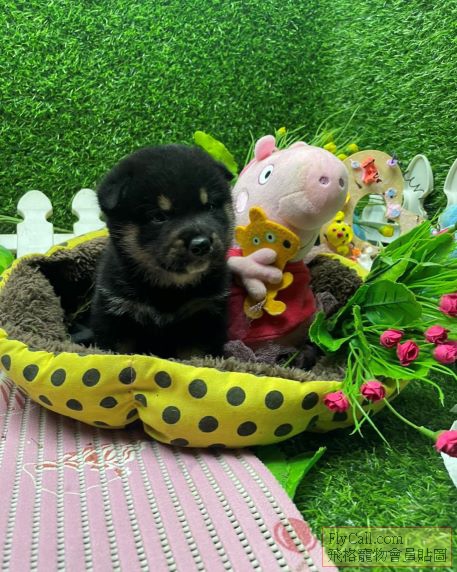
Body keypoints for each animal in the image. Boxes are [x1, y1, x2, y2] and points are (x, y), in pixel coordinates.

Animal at [90, 144, 234, 358]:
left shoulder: (203, 315)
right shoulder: (116, 313)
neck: (167, 290)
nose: (201, 244)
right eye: (159, 217)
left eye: (209, 206)